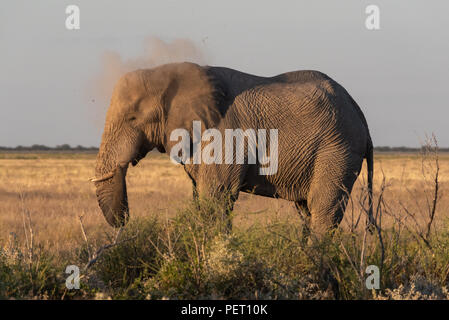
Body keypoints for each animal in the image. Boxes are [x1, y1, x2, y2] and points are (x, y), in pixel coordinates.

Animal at [90, 63, 372, 238]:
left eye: (132, 118)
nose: (125, 222)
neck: (168, 71)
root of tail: (359, 112)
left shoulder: (224, 135)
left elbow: (216, 198)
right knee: (307, 211)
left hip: (338, 150)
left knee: (323, 210)